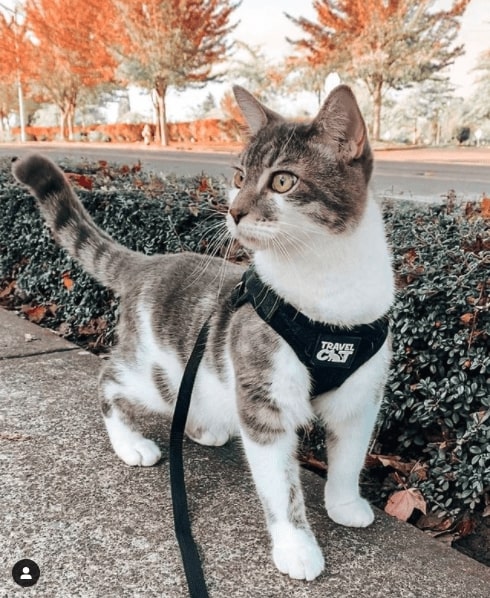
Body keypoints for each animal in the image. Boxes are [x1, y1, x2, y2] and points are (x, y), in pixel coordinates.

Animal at [11, 85, 394, 584]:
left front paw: (345, 503)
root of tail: (149, 263)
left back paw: (203, 426)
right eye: (239, 176)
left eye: (283, 182)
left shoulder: (362, 394)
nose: (234, 210)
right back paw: (130, 443)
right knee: (110, 379)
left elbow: (349, 455)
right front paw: (296, 546)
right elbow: (282, 486)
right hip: (156, 374)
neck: (326, 297)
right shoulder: (264, 400)